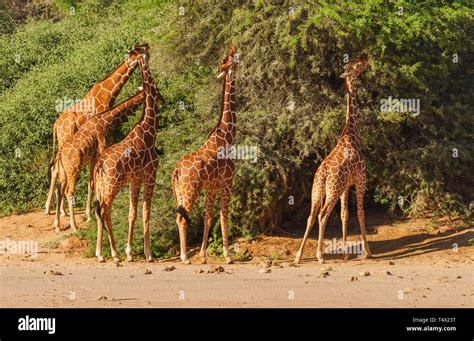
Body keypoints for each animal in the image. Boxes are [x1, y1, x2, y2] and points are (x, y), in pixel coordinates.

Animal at [44, 43, 149, 216]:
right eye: (143, 54)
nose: (147, 67)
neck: (107, 94)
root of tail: (56, 125)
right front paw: (90, 212)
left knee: (56, 168)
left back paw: (54, 210)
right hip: (65, 138)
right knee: (56, 169)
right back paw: (57, 211)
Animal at [52, 89, 144, 232]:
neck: (107, 120)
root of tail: (60, 153)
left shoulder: (93, 158)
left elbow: (91, 182)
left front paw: (90, 214)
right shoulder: (101, 151)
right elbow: (95, 182)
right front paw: (91, 215)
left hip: (64, 170)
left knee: (59, 188)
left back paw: (57, 224)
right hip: (73, 170)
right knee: (69, 192)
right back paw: (74, 225)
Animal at [92, 47, 163, 260]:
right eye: (144, 53)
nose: (163, 100)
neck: (149, 129)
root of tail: (99, 164)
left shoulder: (135, 179)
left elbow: (132, 213)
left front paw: (130, 252)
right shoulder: (150, 174)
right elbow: (146, 212)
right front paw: (148, 254)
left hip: (100, 186)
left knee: (98, 211)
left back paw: (100, 253)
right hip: (112, 185)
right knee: (105, 210)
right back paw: (114, 254)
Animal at [172, 45, 239, 264]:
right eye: (232, 58)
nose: (237, 51)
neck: (226, 137)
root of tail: (176, 171)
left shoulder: (211, 188)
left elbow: (209, 217)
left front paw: (202, 255)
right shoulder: (227, 183)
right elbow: (224, 216)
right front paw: (227, 256)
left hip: (179, 192)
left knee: (180, 216)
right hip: (190, 191)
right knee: (182, 218)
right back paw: (184, 256)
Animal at [294, 57, 372, 262]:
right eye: (356, 66)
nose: (366, 59)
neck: (352, 134)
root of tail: (323, 174)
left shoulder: (346, 186)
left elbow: (345, 214)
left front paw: (345, 254)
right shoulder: (360, 179)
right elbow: (360, 213)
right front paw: (367, 252)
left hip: (317, 191)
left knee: (311, 216)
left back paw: (298, 256)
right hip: (332, 190)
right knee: (322, 215)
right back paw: (319, 255)